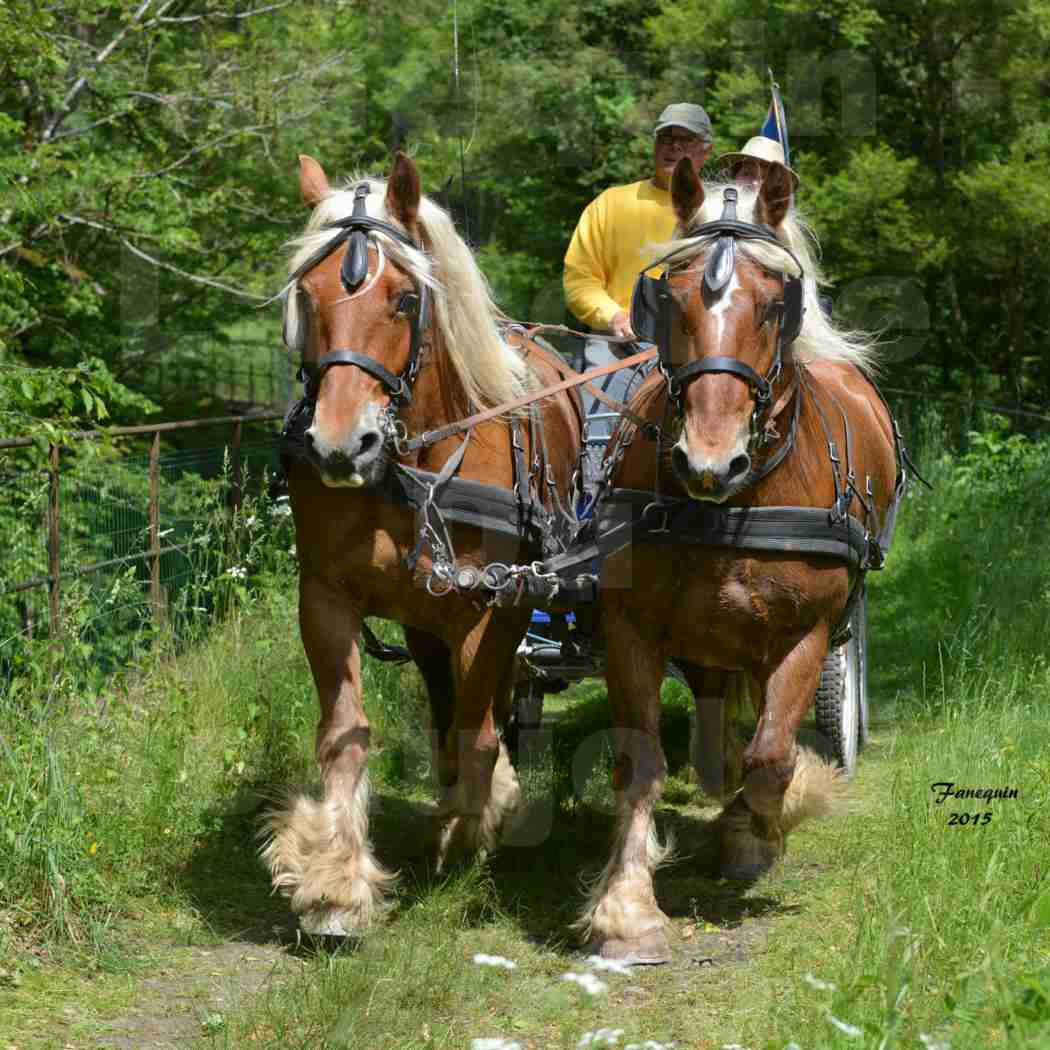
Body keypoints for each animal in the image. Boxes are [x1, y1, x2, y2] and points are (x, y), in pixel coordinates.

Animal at [264, 153, 583, 936]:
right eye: (307, 295)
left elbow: (478, 730)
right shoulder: (325, 595)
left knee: (481, 706)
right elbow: (346, 732)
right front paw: (336, 884)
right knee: (445, 699)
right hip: (425, 614)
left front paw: (473, 825)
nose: (340, 445)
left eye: (406, 300)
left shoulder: (495, 604)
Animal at [583, 159, 902, 961]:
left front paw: (758, 830)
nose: (709, 460)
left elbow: (772, 761)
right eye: (670, 295)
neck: (735, 502)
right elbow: (641, 764)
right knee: (715, 713)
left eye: (771, 305)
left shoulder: (805, 633)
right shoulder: (632, 627)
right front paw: (627, 908)